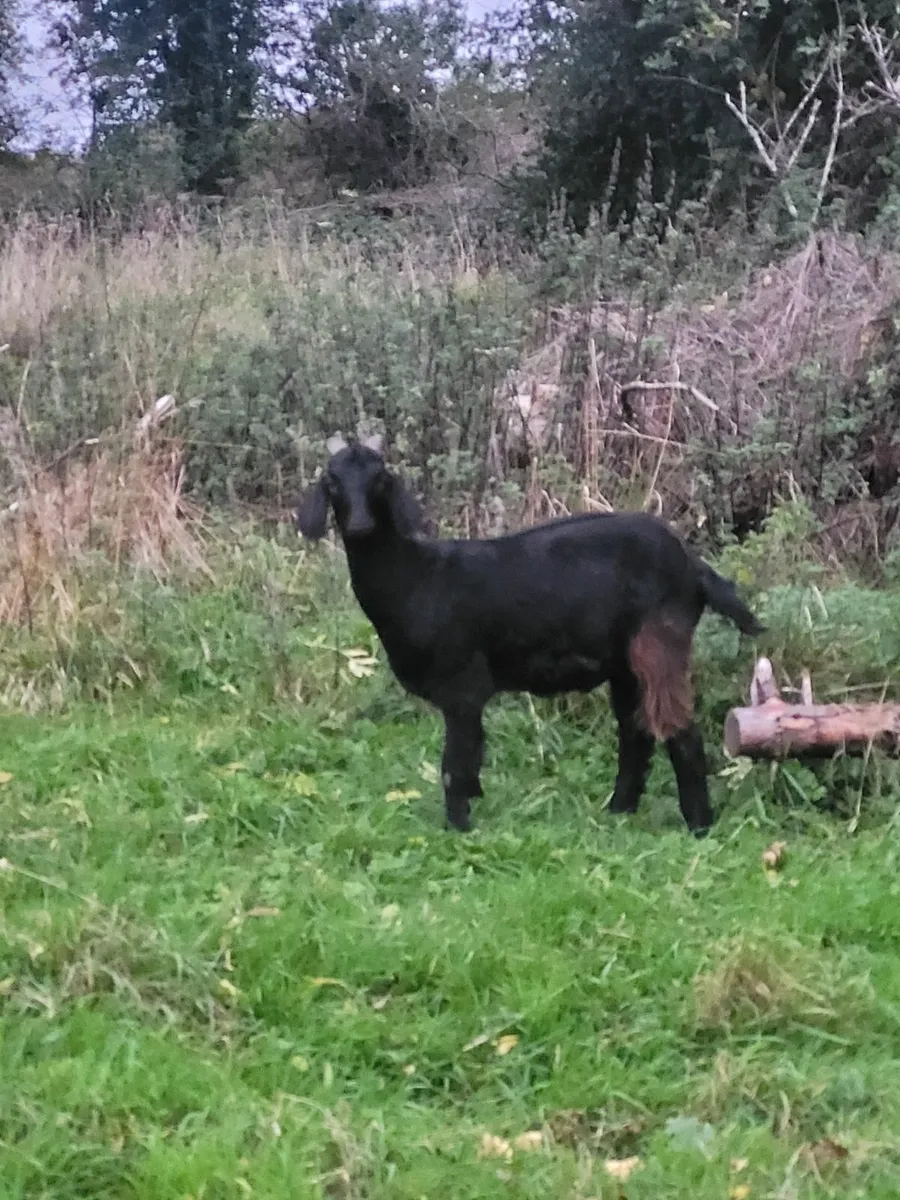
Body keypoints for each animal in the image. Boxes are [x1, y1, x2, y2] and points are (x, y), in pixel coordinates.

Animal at [296, 433, 764, 835]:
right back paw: (619, 811)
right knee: (636, 732)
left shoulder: (463, 685)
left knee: (678, 728)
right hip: (624, 661)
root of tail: (692, 564)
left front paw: (459, 828)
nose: (358, 526)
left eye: (380, 479)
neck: (417, 576)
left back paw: (699, 825)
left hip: (659, 639)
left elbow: (454, 764)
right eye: (331, 481)